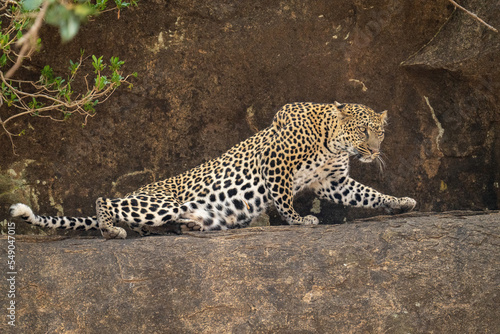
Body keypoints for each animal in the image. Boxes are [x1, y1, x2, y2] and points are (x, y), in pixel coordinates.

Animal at [9, 100, 416, 239]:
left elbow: (368, 194)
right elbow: (284, 200)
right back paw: (111, 229)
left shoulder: (333, 182)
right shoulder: (276, 165)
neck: (331, 141)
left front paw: (400, 202)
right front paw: (300, 221)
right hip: (160, 202)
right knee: (104, 200)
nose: (374, 151)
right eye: (362, 131)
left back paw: (183, 227)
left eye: (379, 132)